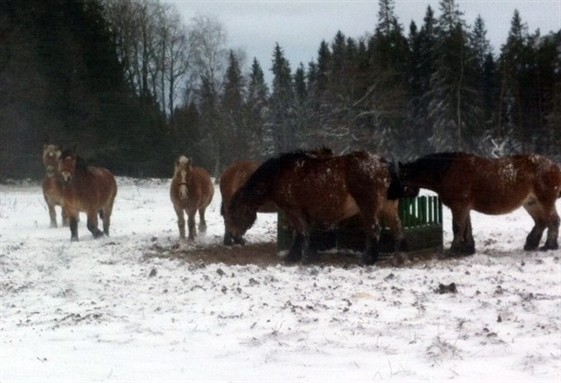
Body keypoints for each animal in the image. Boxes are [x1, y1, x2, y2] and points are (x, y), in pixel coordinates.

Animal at [222, 152, 402, 266]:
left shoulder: (293, 210)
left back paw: (368, 260)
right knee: (397, 229)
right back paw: (398, 257)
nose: (233, 234)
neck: (279, 174)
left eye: (233, 213)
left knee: (374, 230)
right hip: (388, 209)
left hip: (368, 208)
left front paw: (293, 257)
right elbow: (303, 234)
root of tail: (382, 164)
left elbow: (301, 233)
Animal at [400, 153, 556, 255]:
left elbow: (458, 227)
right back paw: (531, 244)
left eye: (400, 179)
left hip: (545, 202)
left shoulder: (459, 206)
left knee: (553, 221)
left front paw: (453, 250)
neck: (447, 171)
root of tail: (554, 166)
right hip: (532, 203)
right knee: (542, 222)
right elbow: (467, 228)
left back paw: (550, 245)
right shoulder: (465, 207)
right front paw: (468, 249)